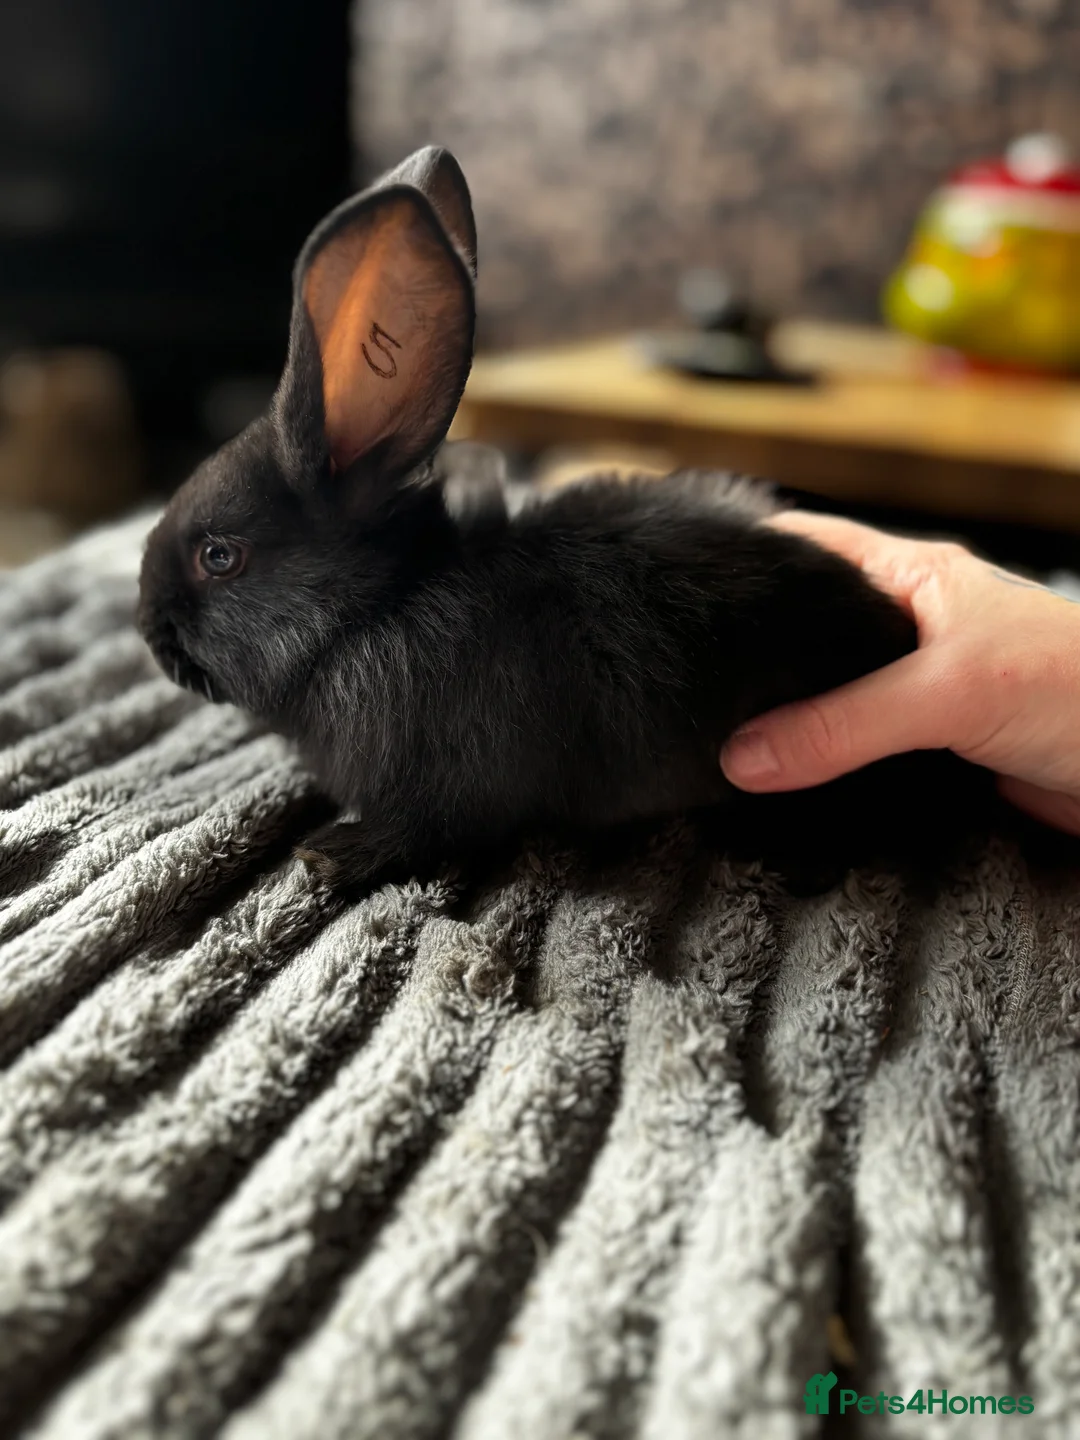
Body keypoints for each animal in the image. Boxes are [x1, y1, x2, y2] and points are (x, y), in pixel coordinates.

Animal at [138, 145, 990, 897]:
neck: (371, 613)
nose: (148, 630)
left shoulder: (438, 794)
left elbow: (414, 836)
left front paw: (328, 858)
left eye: (219, 557)